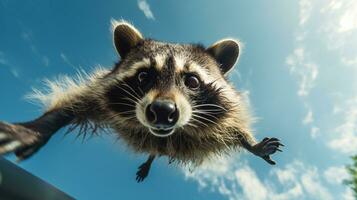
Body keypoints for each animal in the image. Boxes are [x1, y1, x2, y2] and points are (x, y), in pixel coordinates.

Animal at [0, 19, 284, 182]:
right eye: (143, 76)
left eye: (192, 81)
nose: (162, 111)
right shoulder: (104, 98)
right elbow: (76, 104)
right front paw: (36, 128)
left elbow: (235, 130)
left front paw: (253, 144)